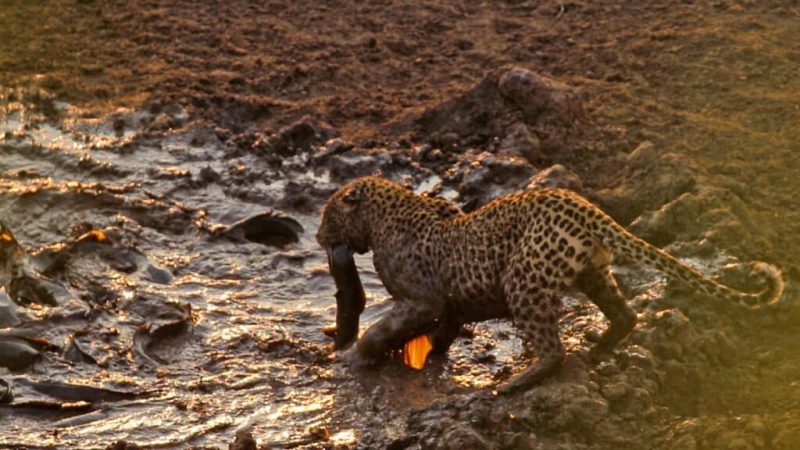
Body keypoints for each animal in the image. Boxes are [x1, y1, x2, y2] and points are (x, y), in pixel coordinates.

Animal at [316, 176, 784, 394]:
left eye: (326, 214)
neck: (380, 219)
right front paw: (430, 358)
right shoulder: (450, 307)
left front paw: (355, 357)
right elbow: (443, 334)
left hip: (523, 281)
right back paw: (597, 350)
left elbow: (386, 328)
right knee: (626, 314)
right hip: (595, 273)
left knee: (554, 348)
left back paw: (516, 382)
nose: (319, 238)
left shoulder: (423, 300)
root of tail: (586, 209)